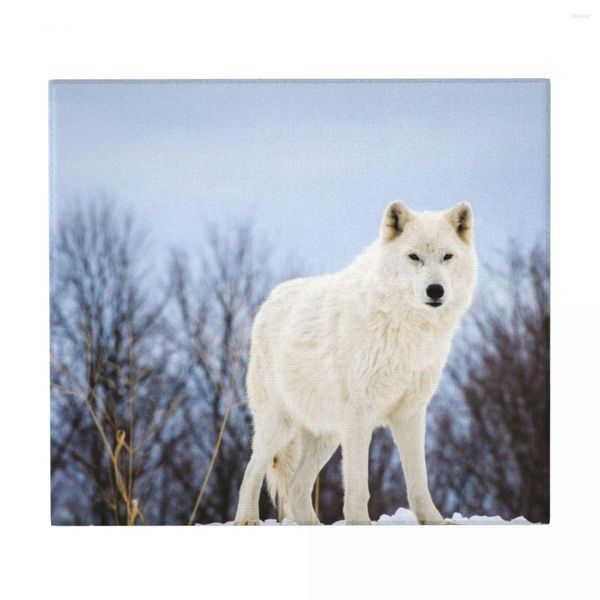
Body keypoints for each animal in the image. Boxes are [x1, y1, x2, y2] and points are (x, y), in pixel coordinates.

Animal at [234, 199, 478, 524]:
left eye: (447, 256)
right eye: (414, 257)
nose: (435, 290)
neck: (406, 330)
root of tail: (268, 300)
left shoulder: (411, 413)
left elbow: (419, 481)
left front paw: (434, 521)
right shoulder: (360, 416)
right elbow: (359, 485)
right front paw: (360, 522)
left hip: (327, 436)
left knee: (297, 487)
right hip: (280, 425)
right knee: (252, 469)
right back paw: (246, 518)